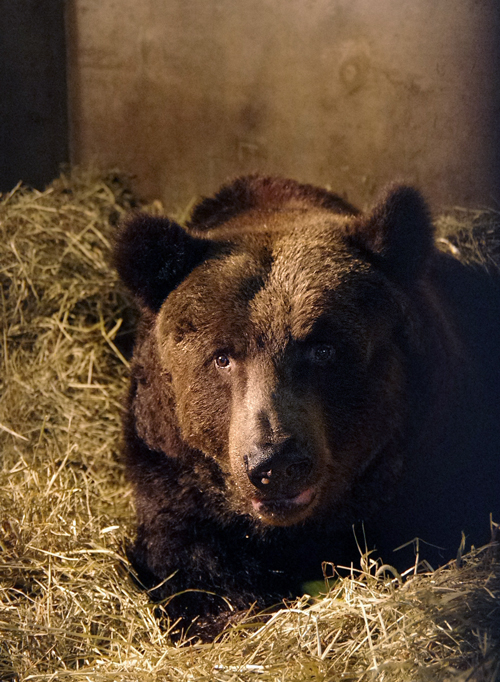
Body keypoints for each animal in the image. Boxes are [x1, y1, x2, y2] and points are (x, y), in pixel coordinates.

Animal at [114, 175, 500, 632]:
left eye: (323, 350)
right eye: (222, 356)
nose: (275, 463)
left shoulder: (429, 453)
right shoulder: (170, 474)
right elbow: (188, 561)